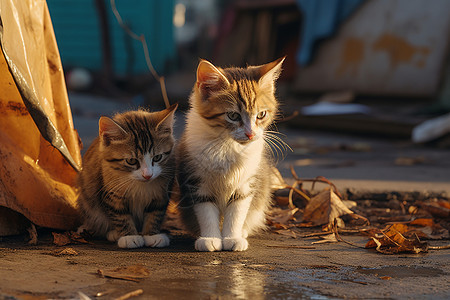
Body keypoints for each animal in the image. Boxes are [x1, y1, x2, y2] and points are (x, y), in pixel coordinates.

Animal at [76, 103, 177, 248]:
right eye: (131, 161)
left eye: (157, 157)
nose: (148, 175)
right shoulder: (110, 193)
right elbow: (120, 215)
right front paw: (129, 236)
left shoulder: (161, 192)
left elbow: (155, 213)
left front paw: (151, 235)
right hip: (87, 199)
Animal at [175, 56, 284, 251]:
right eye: (233, 116)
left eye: (261, 115)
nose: (250, 134)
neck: (227, 145)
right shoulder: (197, 181)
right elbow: (206, 211)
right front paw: (210, 238)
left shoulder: (247, 182)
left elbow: (237, 212)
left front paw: (233, 237)